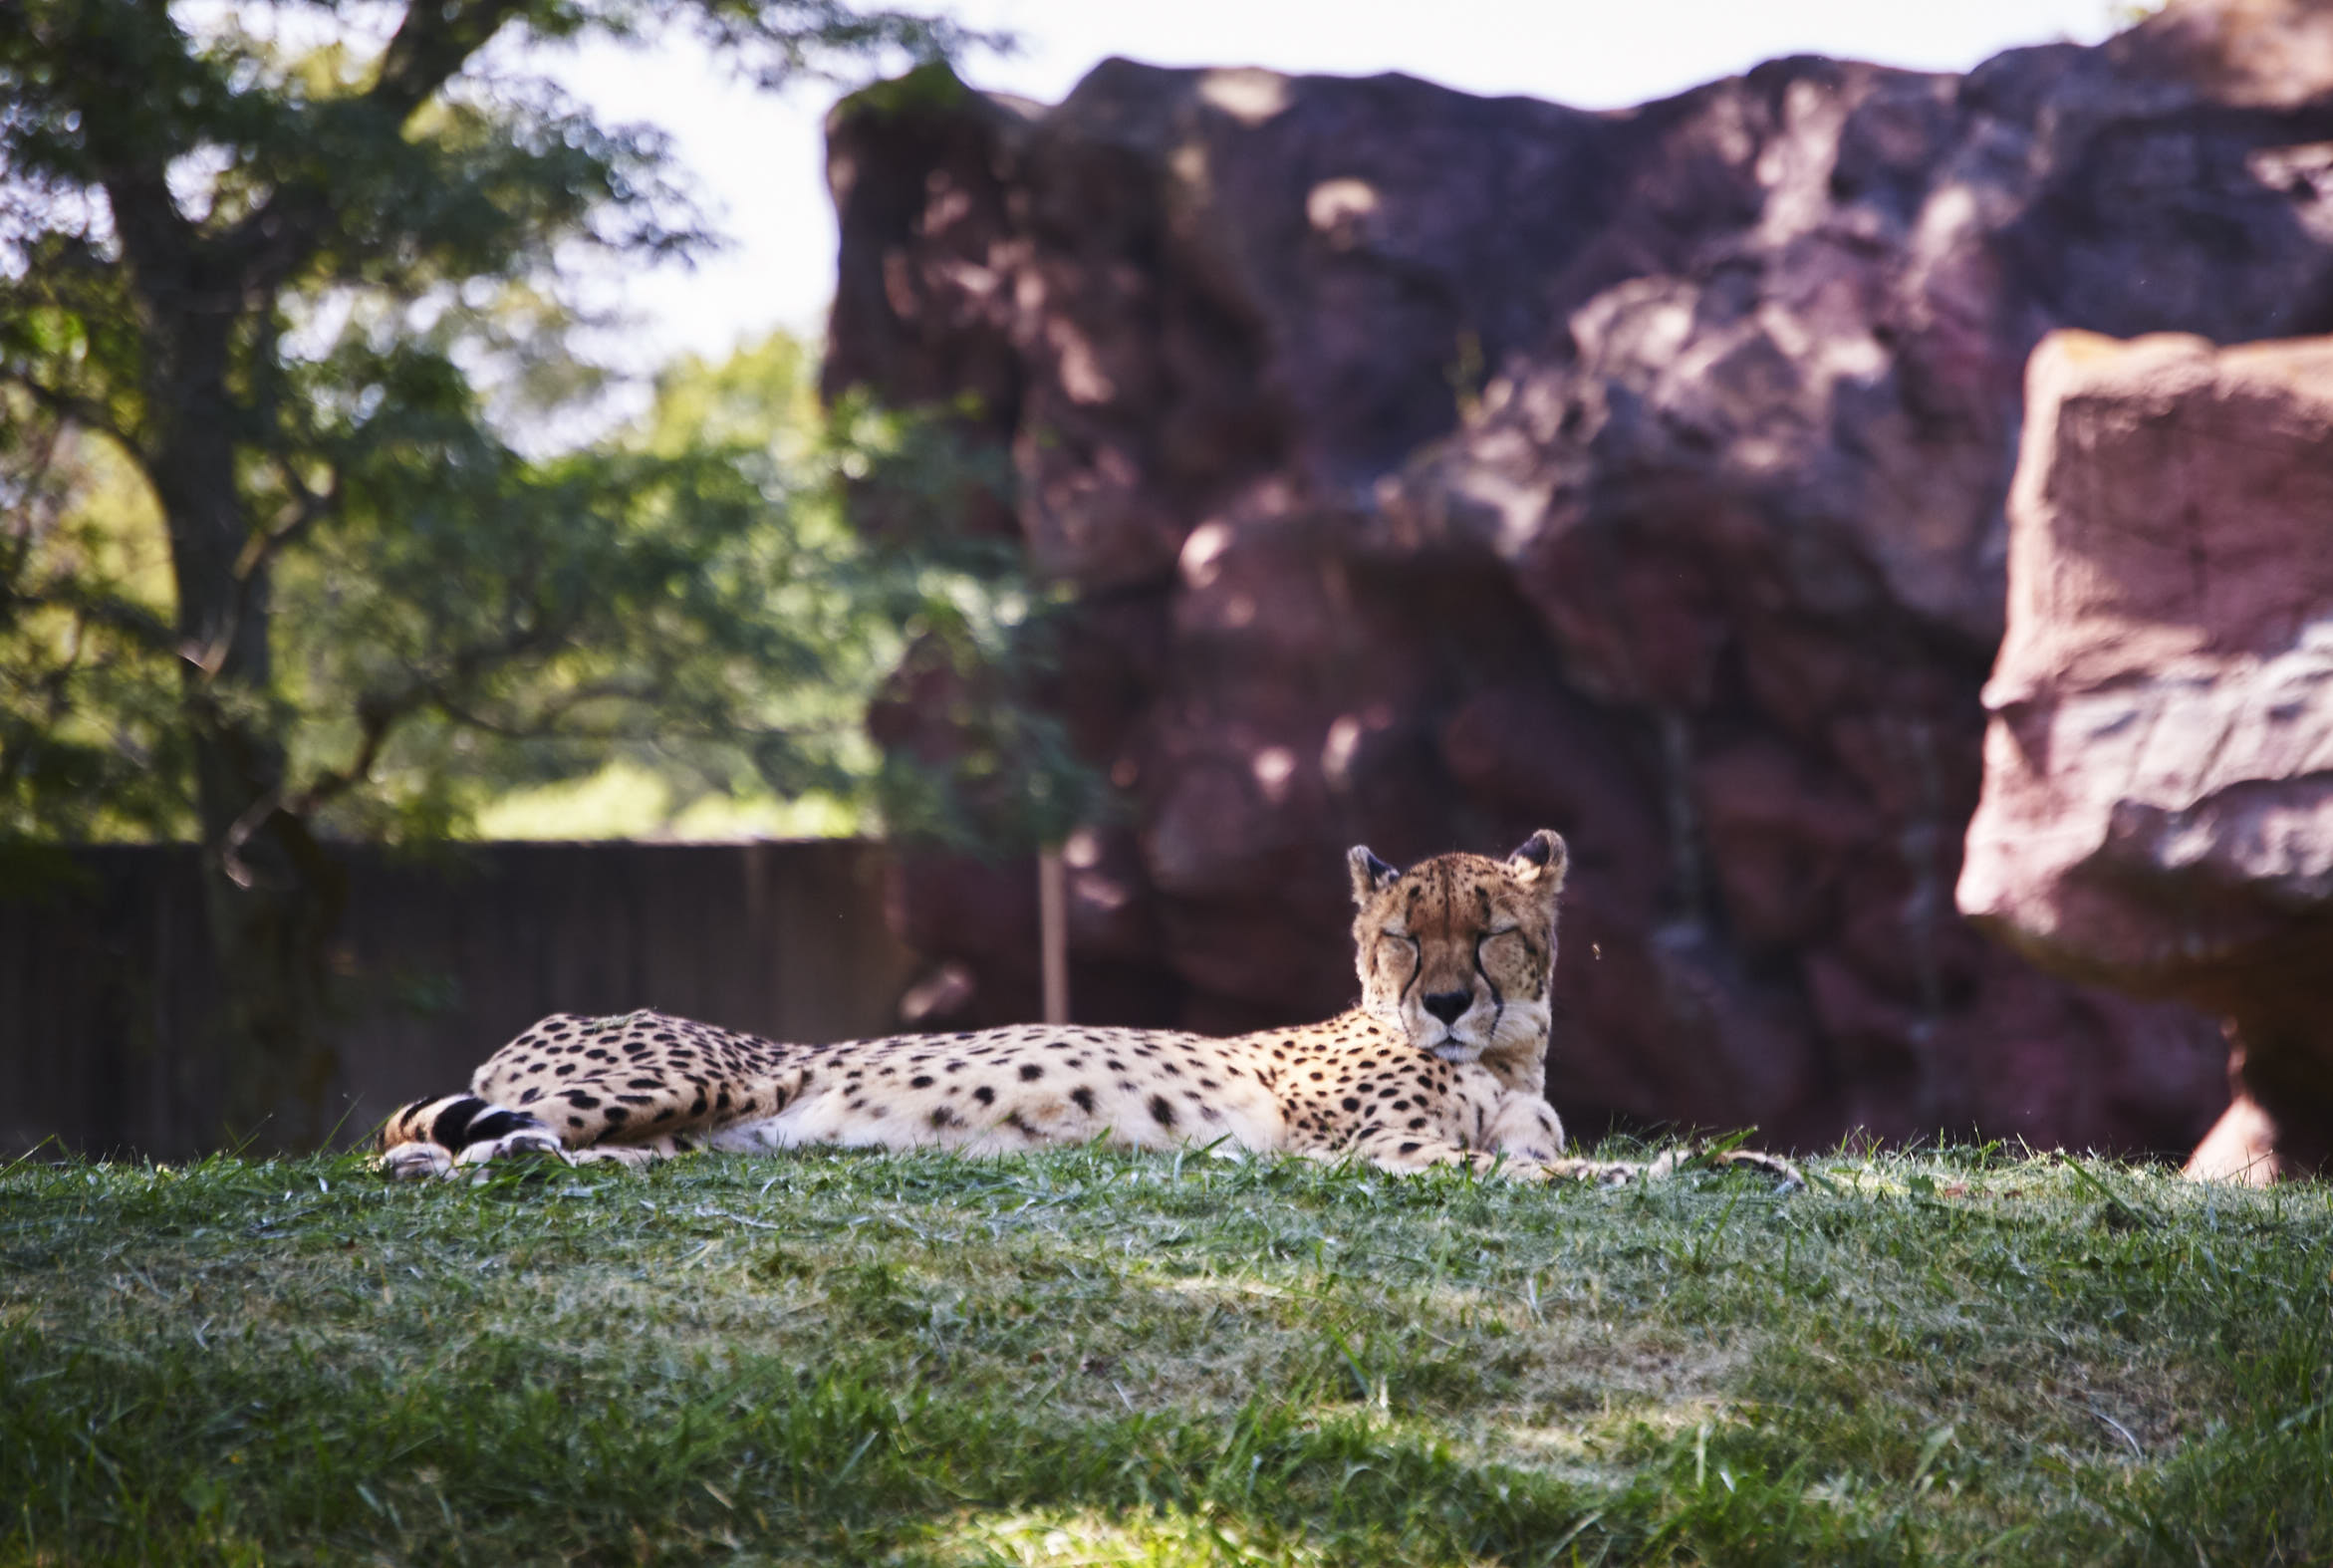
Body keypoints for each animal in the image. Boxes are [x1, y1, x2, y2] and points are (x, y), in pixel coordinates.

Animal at [378, 830, 1801, 1189]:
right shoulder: (1392, 1163)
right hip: (693, 1072)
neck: (1500, 1057)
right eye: (1404, 937)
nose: (1448, 1002)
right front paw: (1709, 1173)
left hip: (683, 1132)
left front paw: (1744, 1161)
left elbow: (1590, 1154)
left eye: (1492, 929)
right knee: (405, 1139)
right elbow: (1562, 1175)